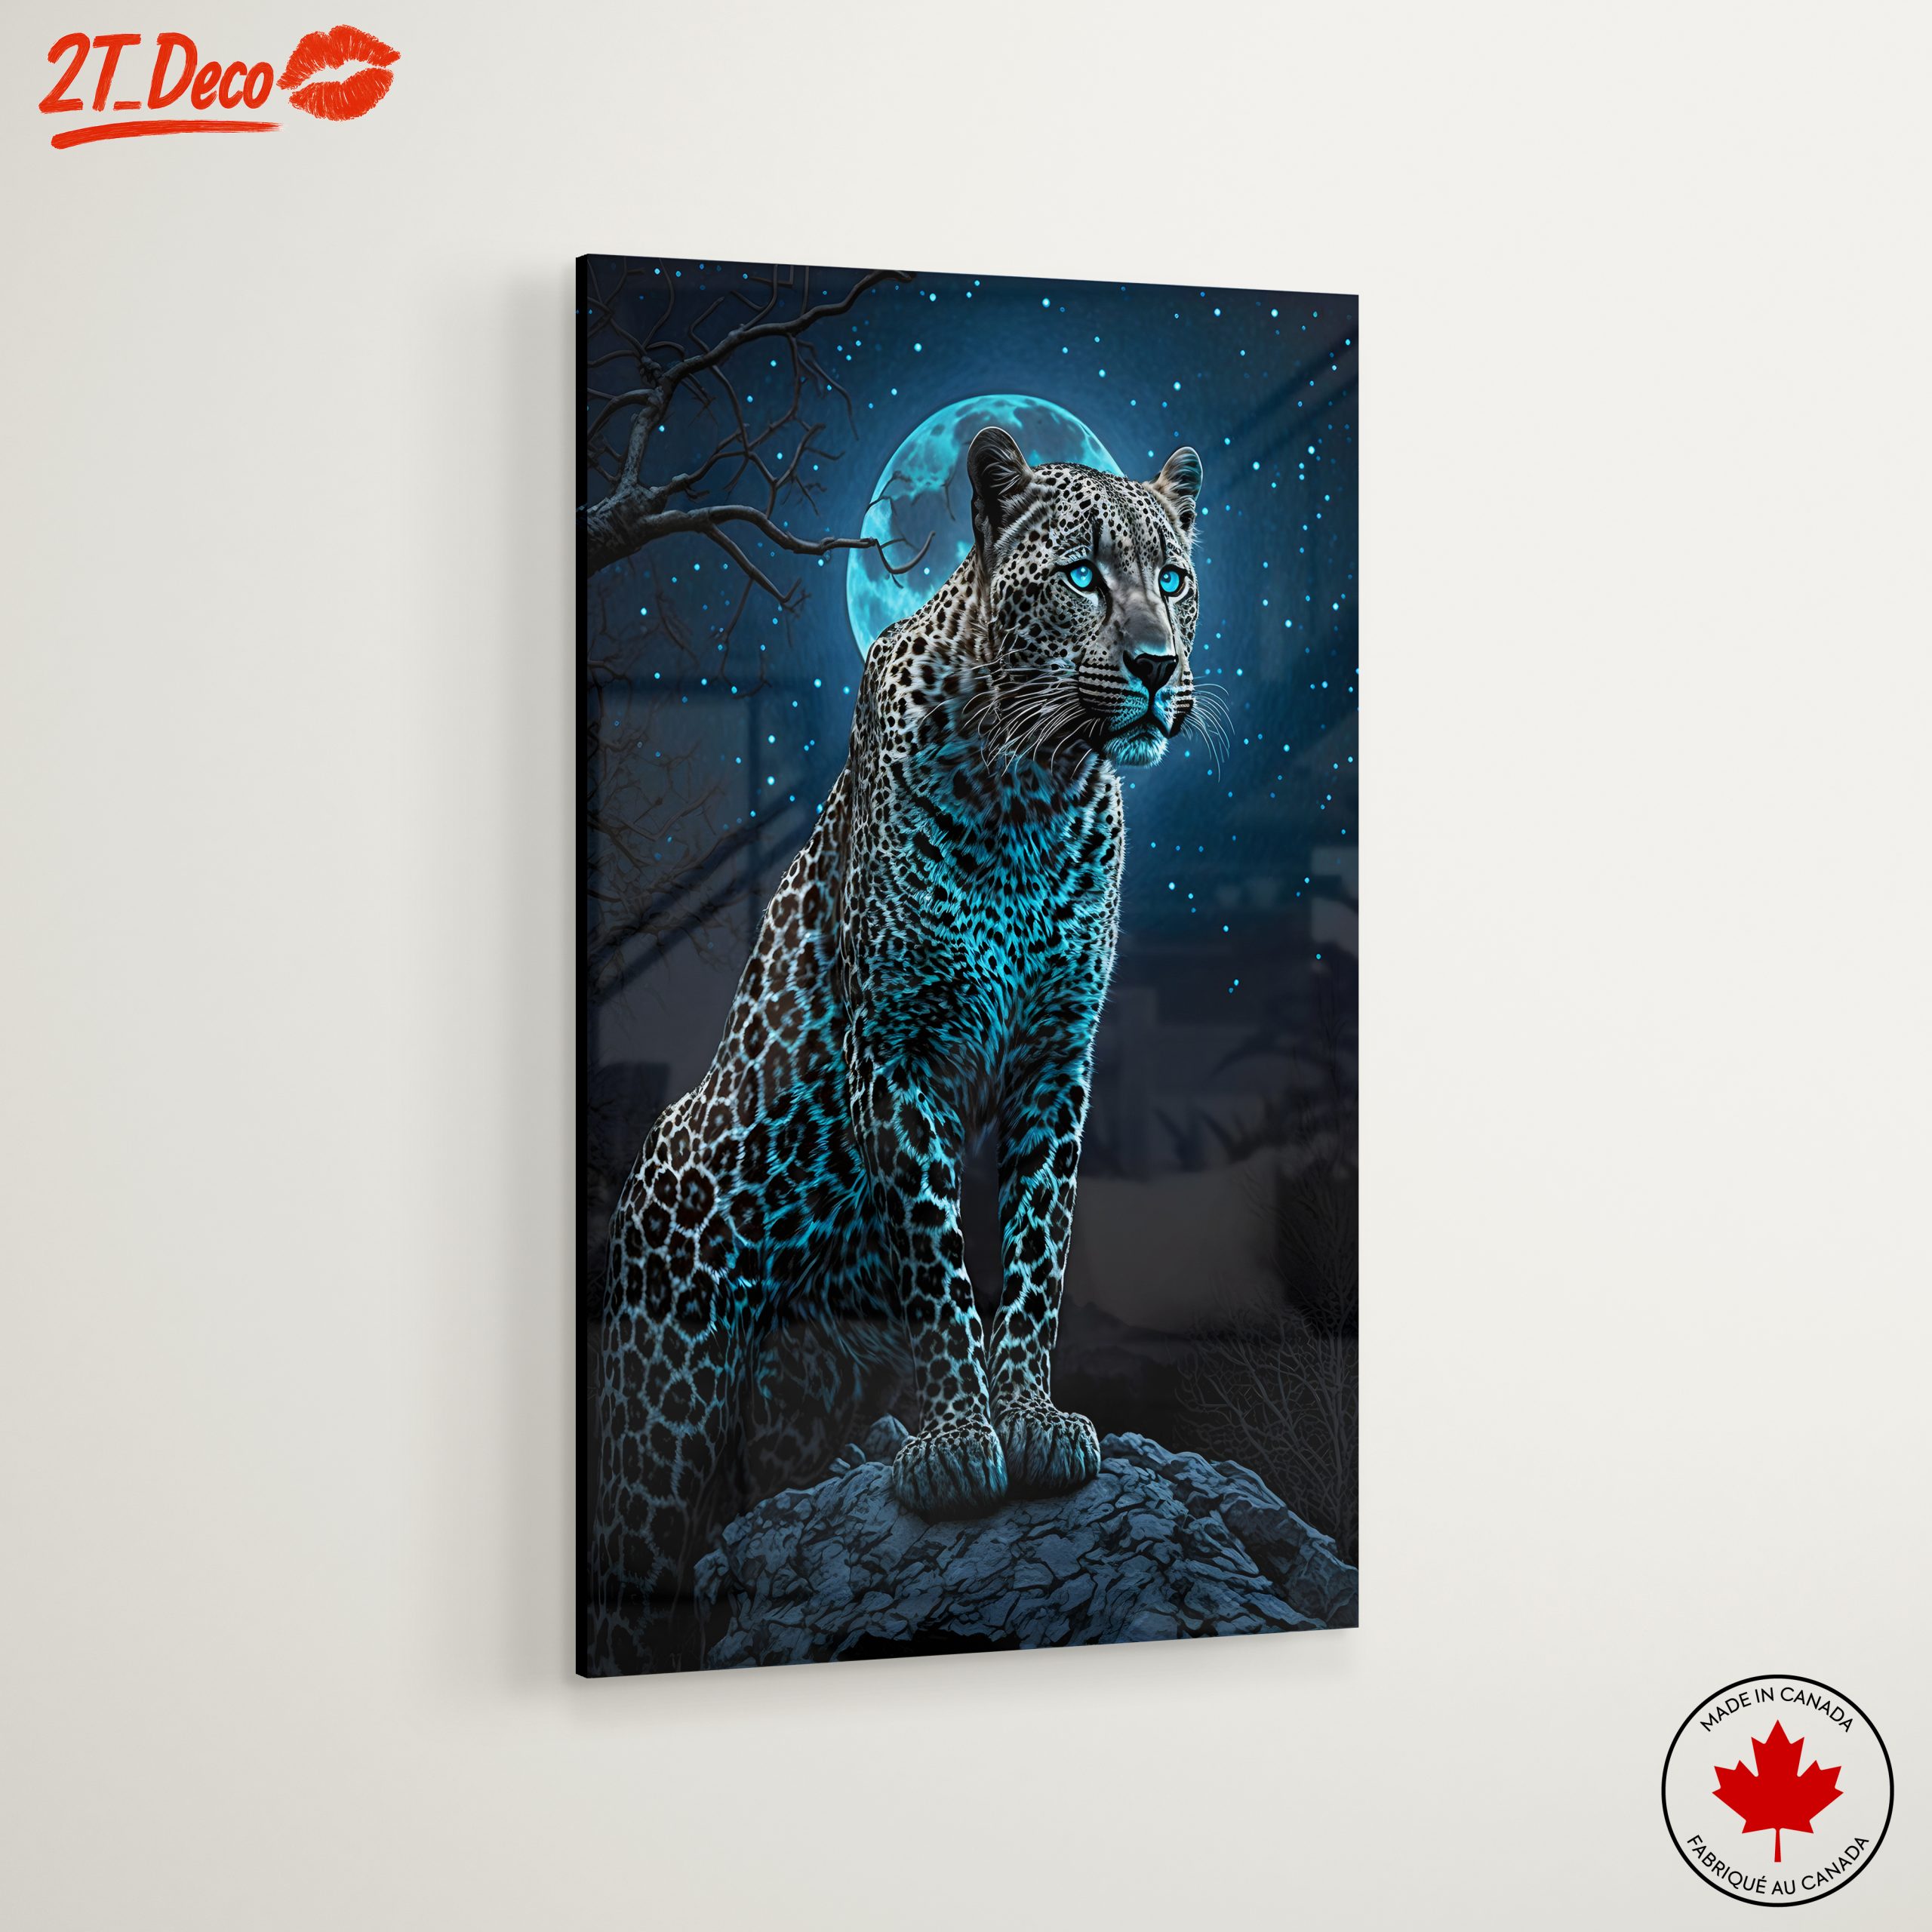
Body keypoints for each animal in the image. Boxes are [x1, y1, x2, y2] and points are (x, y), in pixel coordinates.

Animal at [586, 426, 1204, 1672]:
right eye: (1083, 577)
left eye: (1172, 579)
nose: (1159, 664)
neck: (1036, 784)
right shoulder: (901, 1051)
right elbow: (937, 1261)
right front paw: (962, 1445)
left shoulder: (1057, 1058)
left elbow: (1036, 1251)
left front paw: (1031, 1422)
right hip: (664, 1404)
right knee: (637, 1573)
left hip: (798, 1399)